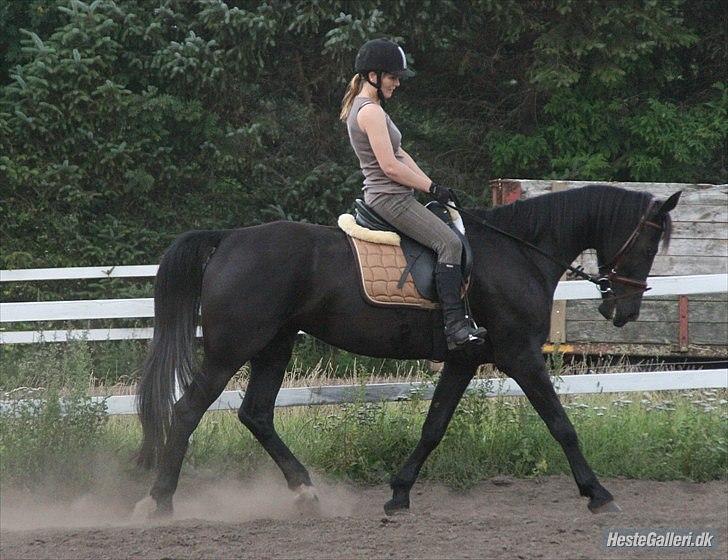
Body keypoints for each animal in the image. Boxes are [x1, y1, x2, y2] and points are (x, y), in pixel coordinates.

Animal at [134, 186, 680, 520]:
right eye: (648, 244)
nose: (625, 310)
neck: (519, 253)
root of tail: (228, 239)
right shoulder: (521, 354)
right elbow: (561, 424)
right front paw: (598, 494)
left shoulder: (464, 359)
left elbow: (434, 426)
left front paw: (398, 494)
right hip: (233, 349)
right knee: (187, 410)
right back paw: (159, 502)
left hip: (274, 345)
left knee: (256, 414)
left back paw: (306, 491)